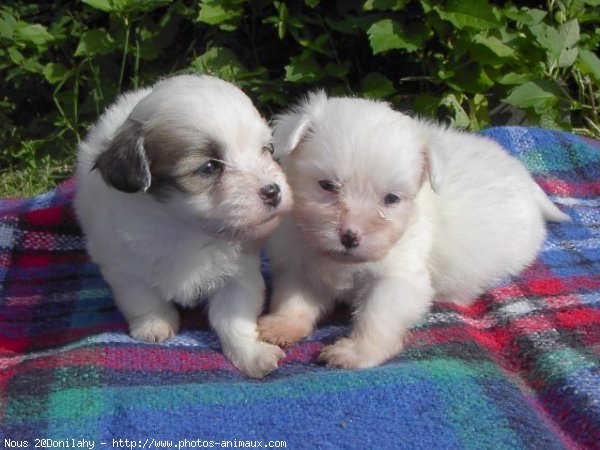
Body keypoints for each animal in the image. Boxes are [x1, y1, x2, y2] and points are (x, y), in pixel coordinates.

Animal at [74, 74, 294, 376]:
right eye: (209, 167)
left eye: (267, 150)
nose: (273, 191)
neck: (184, 229)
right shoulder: (124, 267)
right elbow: (142, 298)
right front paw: (154, 325)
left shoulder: (238, 273)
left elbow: (234, 318)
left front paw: (251, 354)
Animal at [258, 92, 568, 370]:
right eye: (327, 185)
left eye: (391, 198)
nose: (349, 236)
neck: (340, 263)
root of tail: (524, 177)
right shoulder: (298, 265)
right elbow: (293, 301)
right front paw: (280, 326)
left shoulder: (399, 278)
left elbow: (377, 315)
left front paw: (356, 352)